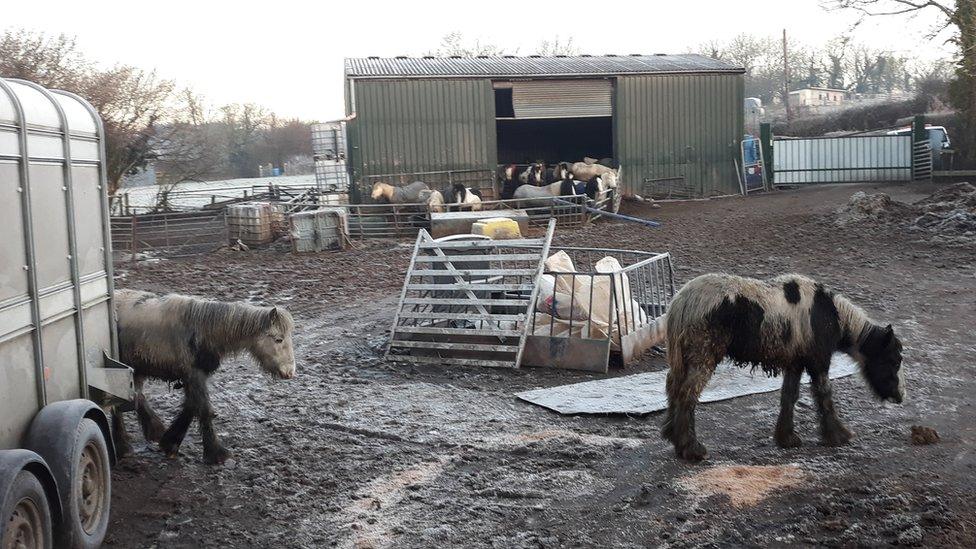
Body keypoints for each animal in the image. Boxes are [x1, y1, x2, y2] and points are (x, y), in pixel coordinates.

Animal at [110, 288, 294, 464]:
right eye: (278, 339)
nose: (290, 372)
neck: (201, 330)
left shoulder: (194, 376)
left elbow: (191, 406)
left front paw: (170, 442)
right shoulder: (193, 375)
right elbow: (204, 409)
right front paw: (216, 454)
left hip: (136, 370)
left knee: (137, 396)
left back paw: (153, 431)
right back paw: (123, 448)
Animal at [660, 272, 904, 460]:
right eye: (893, 359)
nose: (899, 396)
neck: (829, 314)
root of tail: (682, 301)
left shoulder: (795, 364)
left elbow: (789, 395)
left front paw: (787, 438)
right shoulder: (819, 363)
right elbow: (824, 395)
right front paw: (838, 435)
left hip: (684, 359)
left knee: (673, 388)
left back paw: (674, 438)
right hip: (703, 358)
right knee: (687, 395)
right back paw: (692, 449)